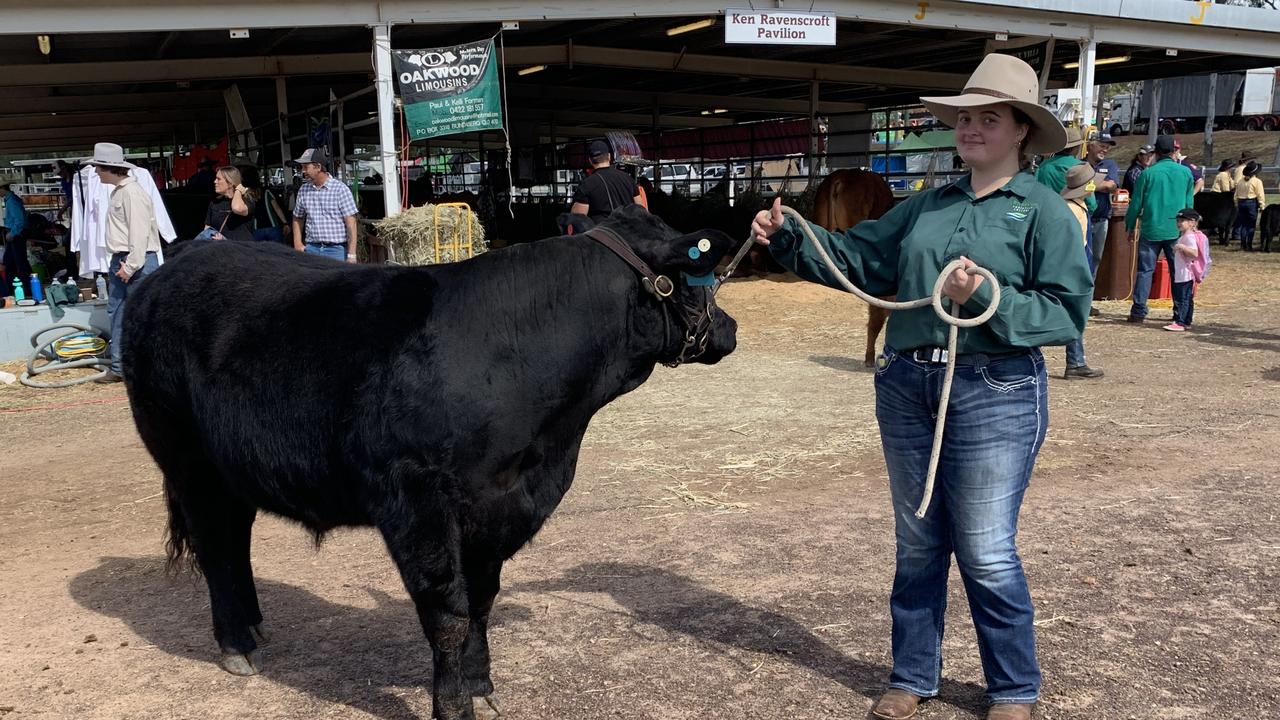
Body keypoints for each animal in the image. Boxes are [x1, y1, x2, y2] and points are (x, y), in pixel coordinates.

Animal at [122, 204, 742, 712]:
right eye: (697, 276)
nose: (730, 329)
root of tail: (178, 264)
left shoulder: (499, 507)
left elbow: (482, 602)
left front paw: (481, 685)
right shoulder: (418, 502)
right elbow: (447, 614)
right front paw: (453, 705)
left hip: (233, 470)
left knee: (237, 541)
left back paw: (254, 628)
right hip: (187, 463)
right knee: (215, 546)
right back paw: (233, 643)